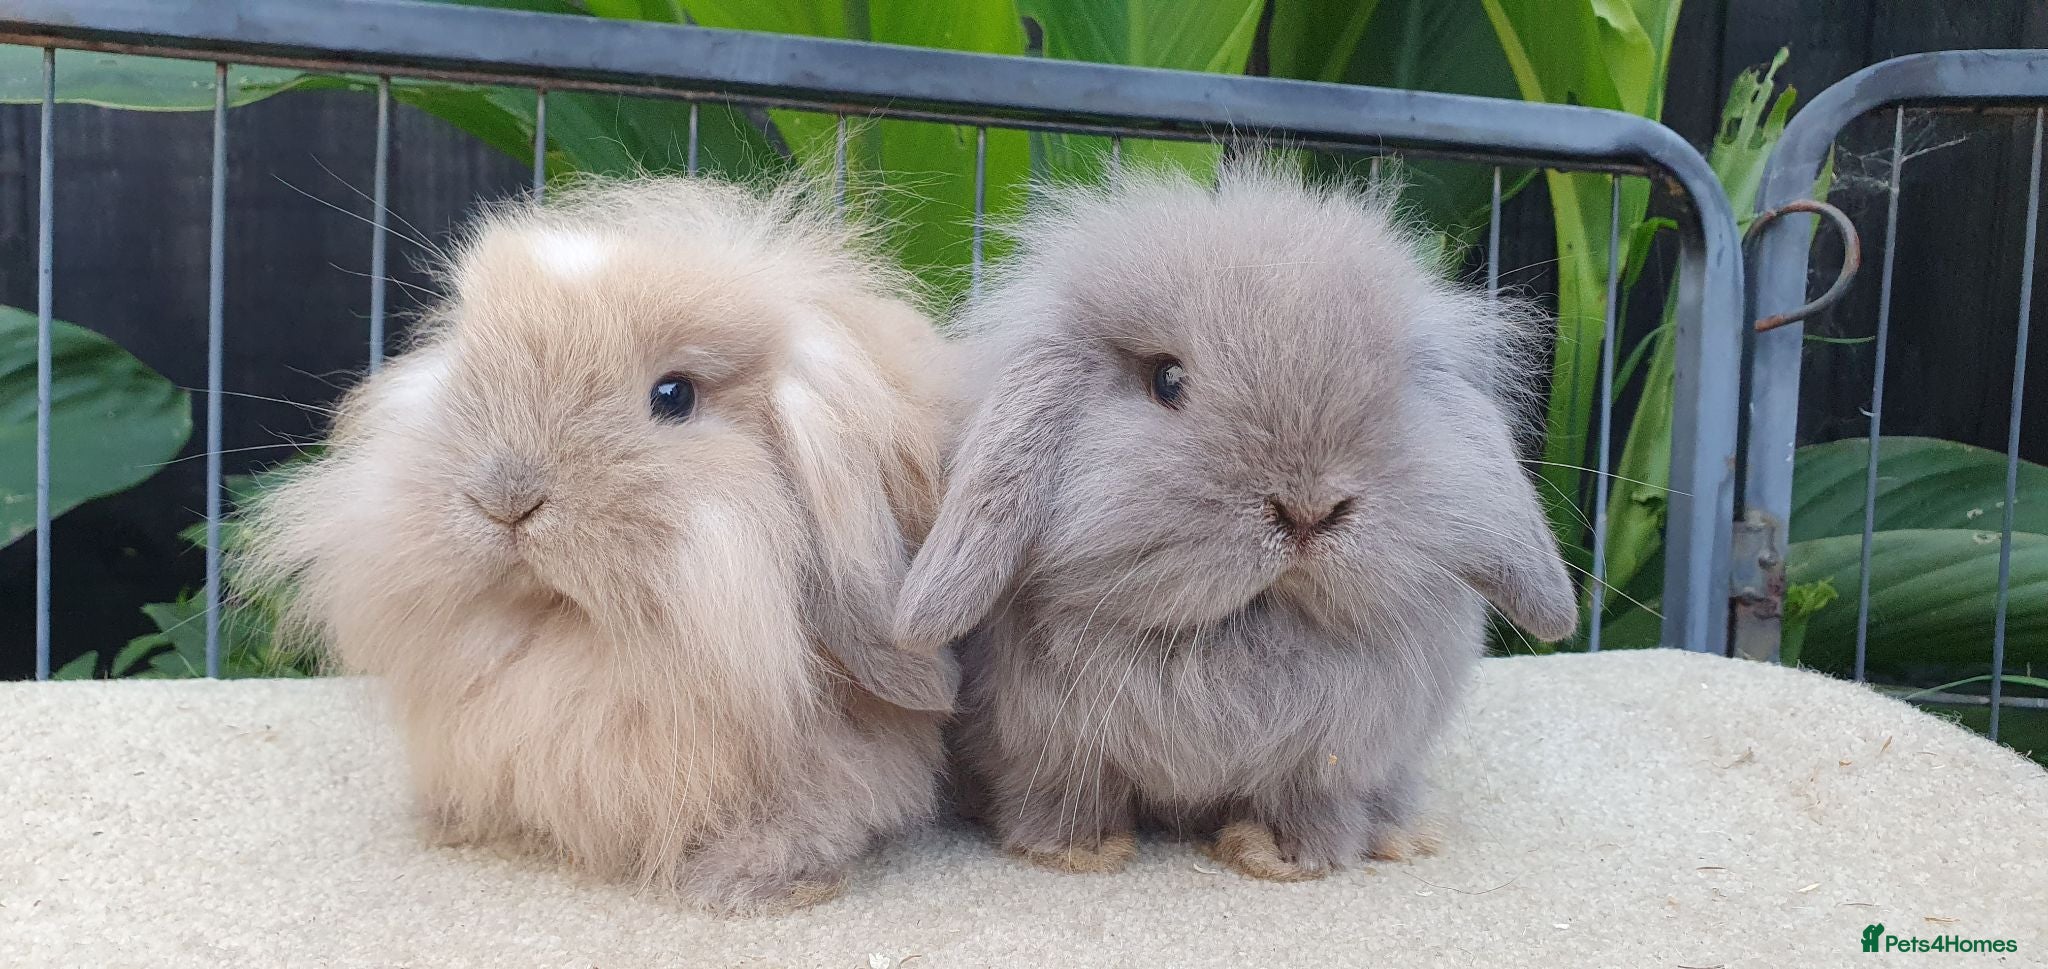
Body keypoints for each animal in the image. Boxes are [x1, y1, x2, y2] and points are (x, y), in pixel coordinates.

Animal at [236, 174, 961, 916]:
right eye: (470, 369)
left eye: (673, 396)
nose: (507, 500)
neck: (581, 636)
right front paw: (452, 820)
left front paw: (744, 880)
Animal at [894, 160, 1578, 882]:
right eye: (1167, 381)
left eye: (1392, 392)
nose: (1308, 510)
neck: (1242, 634)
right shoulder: (1053, 752)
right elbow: (1064, 796)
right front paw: (1077, 853)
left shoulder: (1327, 765)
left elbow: (1312, 807)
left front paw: (1286, 858)